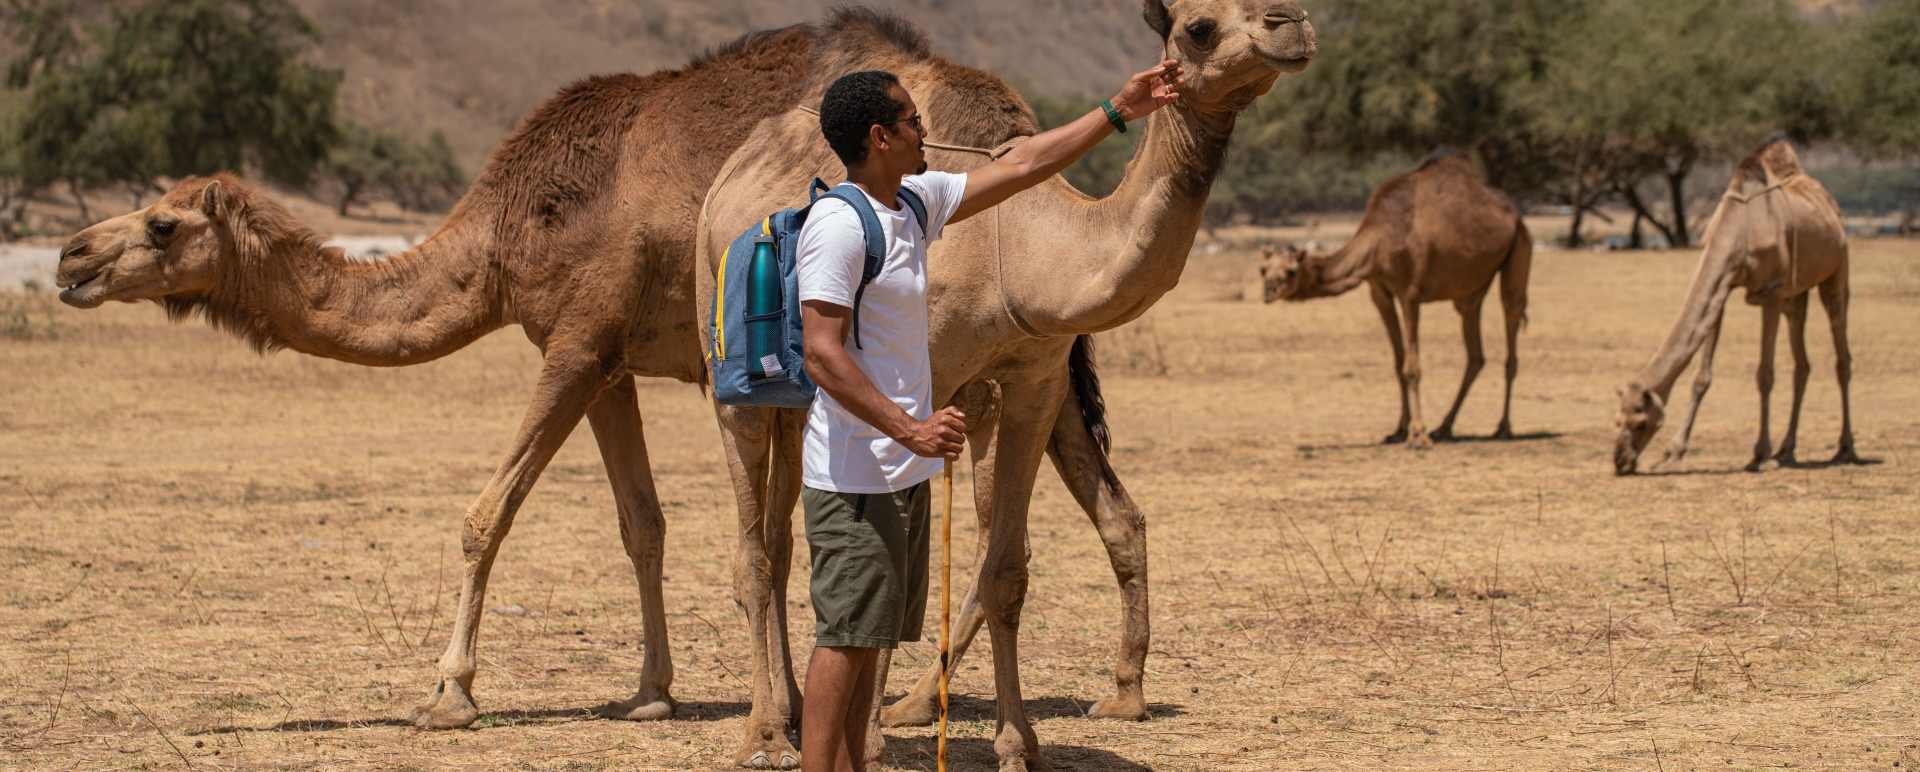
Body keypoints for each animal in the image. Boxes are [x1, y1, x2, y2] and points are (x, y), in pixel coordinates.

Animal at [696, 2, 1316, 768]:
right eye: (1200, 27)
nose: (1292, 24)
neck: (1016, 246)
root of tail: (729, 177)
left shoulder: (1033, 380)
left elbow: (1005, 571)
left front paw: (1018, 744)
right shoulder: (934, 380)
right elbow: (900, 561)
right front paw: (870, 737)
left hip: (806, 405)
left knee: (783, 541)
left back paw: (796, 710)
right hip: (734, 377)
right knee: (756, 547)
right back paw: (765, 731)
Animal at [1258, 152, 1532, 448]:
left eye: (1290, 271)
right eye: (1262, 269)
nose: (1268, 290)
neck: (1381, 237)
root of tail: (1515, 215)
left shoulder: (1409, 293)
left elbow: (1412, 366)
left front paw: (1418, 435)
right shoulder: (1379, 292)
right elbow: (1398, 361)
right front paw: (1398, 431)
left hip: (1519, 248)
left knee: (1511, 320)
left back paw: (1503, 428)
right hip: (1470, 290)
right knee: (1475, 353)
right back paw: (1445, 428)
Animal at [1612, 138, 1859, 475]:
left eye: (1640, 422)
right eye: (1617, 420)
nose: (1620, 461)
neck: (1741, 230)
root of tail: (1830, 204)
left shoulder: (1770, 293)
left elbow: (1764, 375)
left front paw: (1760, 453)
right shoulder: (1723, 288)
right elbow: (1701, 377)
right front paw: (1673, 452)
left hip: (1836, 270)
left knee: (1841, 353)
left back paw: (1844, 448)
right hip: (1796, 295)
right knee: (1802, 363)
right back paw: (1787, 450)